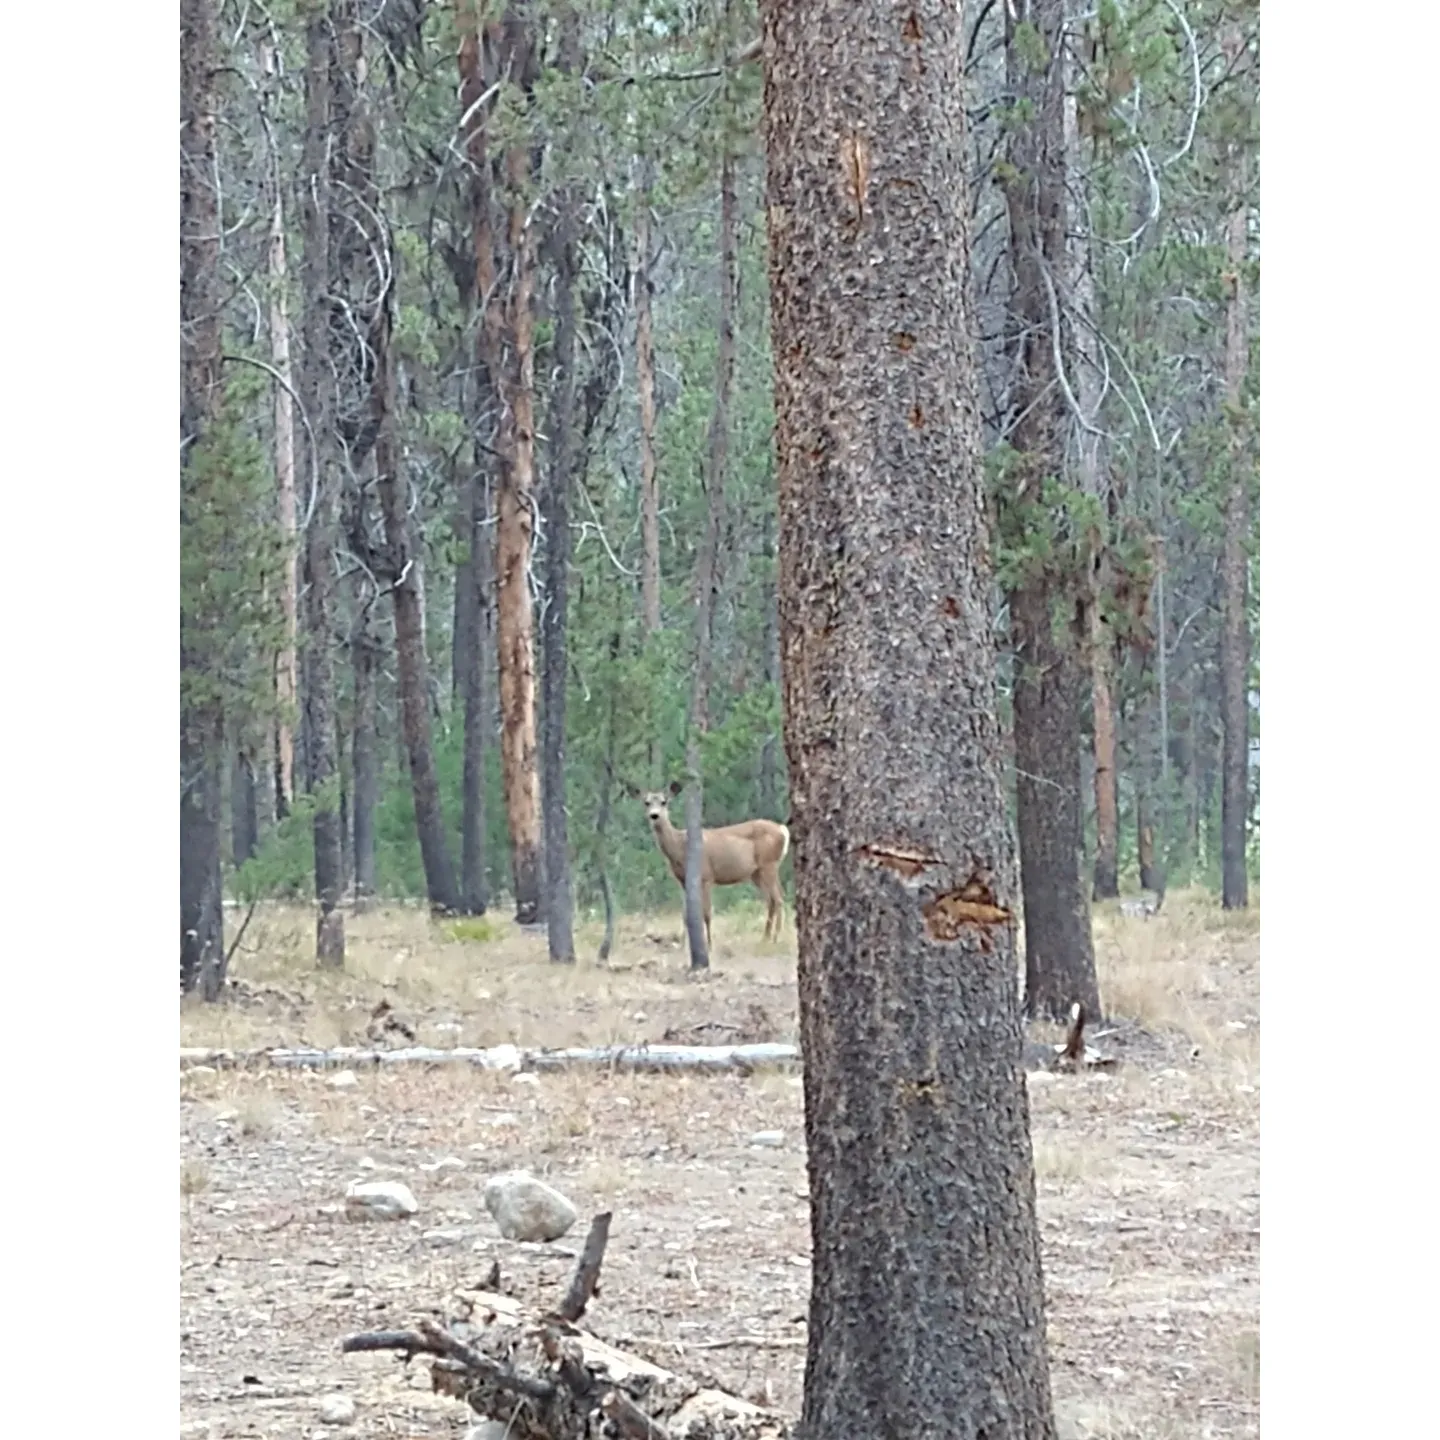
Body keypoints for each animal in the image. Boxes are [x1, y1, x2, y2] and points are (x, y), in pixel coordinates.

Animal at [642, 783, 794, 950]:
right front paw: (682, 945)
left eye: (664, 802)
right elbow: (685, 914)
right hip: (757, 873)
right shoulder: (683, 881)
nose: (654, 815)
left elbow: (707, 913)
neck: (680, 845)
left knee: (778, 899)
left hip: (768, 864)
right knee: (772, 900)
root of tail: (782, 829)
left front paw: (709, 945)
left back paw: (775, 938)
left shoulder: (706, 876)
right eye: (647, 803)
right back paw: (765, 938)